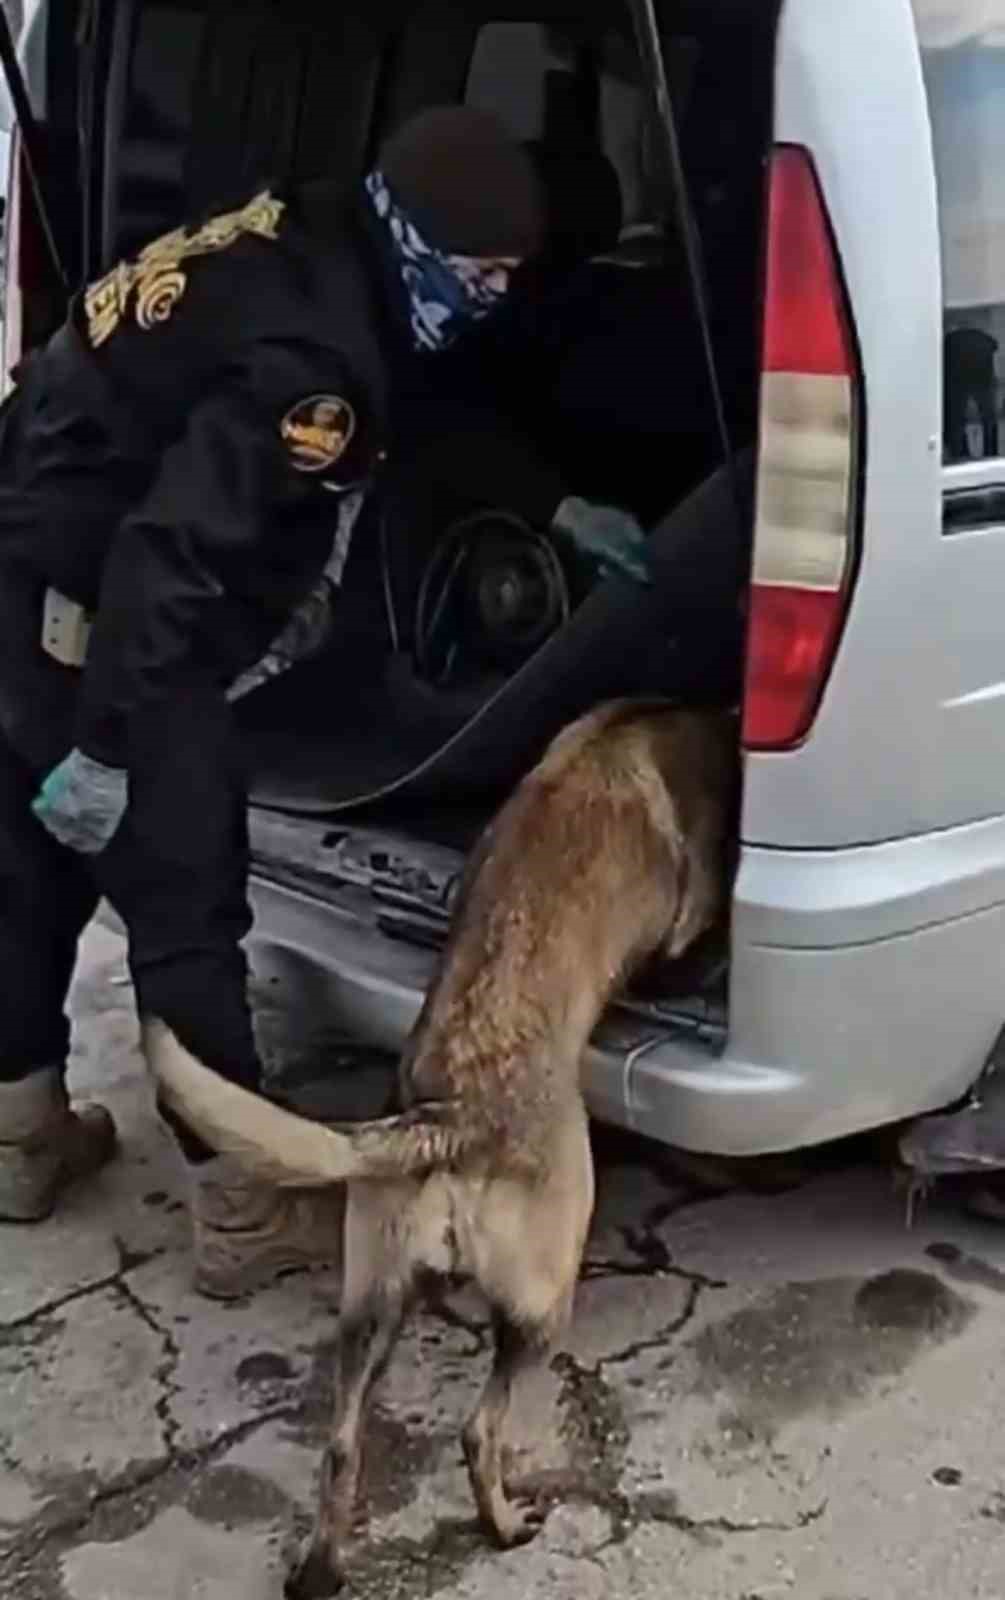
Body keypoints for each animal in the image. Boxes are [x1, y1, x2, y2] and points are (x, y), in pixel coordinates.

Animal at [147, 704, 729, 1600]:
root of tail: (448, 1119)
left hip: (371, 1304)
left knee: (341, 1443)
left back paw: (321, 1567)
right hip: (540, 1299)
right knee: (476, 1430)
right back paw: (502, 1526)